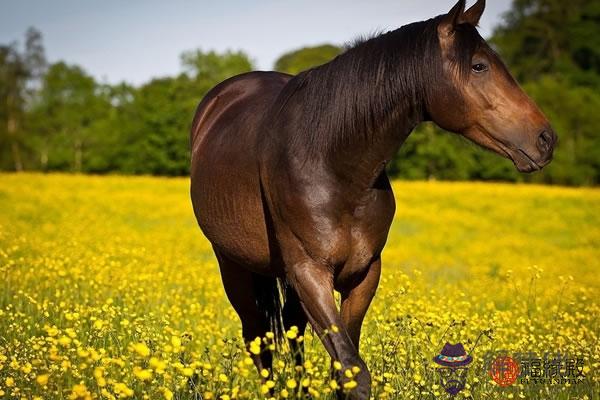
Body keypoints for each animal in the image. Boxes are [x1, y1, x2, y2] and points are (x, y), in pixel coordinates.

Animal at [190, 1, 556, 398]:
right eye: (478, 66)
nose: (546, 139)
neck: (334, 163)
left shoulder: (364, 273)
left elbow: (344, 367)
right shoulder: (309, 273)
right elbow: (352, 369)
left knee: (291, 331)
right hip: (233, 265)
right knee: (259, 340)